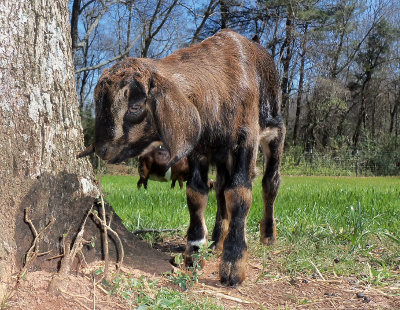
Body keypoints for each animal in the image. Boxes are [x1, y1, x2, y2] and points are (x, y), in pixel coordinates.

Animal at [78, 29, 284, 286]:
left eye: (135, 106)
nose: (102, 148)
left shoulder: (246, 139)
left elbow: (239, 194)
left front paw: (233, 264)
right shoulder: (198, 150)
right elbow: (196, 193)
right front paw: (195, 251)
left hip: (275, 131)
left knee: (270, 182)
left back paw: (268, 235)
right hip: (222, 156)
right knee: (220, 188)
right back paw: (217, 240)